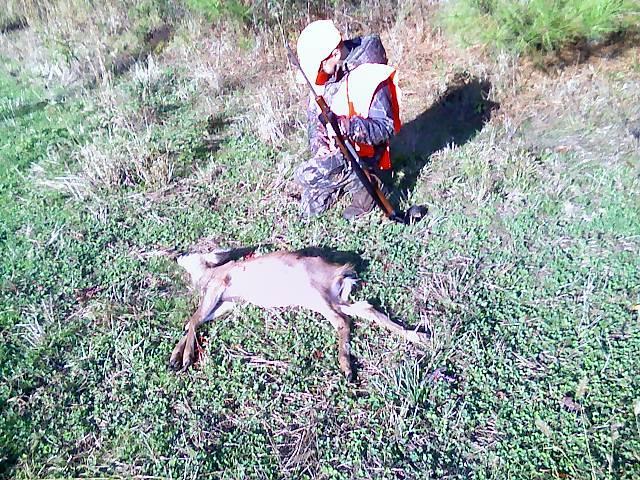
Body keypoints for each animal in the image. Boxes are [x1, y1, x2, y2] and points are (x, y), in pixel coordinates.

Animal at [170, 247, 428, 380]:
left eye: (191, 251)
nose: (176, 254)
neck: (207, 274)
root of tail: (339, 272)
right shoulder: (228, 303)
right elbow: (194, 322)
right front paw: (175, 358)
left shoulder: (217, 287)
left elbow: (193, 319)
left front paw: (183, 358)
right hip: (334, 297)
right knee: (366, 308)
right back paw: (420, 336)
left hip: (315, 295)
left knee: (342, 321)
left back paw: (346, 368)